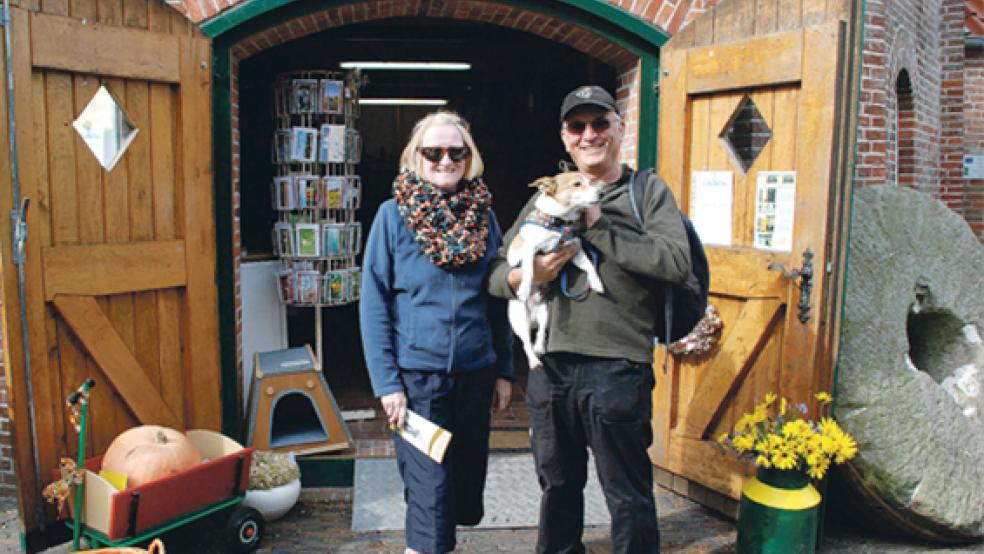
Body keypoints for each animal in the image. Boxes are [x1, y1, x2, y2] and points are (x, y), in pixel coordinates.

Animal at [512, 169, 604, 366]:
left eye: (590, 182)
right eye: (577, 184)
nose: (601, 193)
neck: (560, 223)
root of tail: (532, 313)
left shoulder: (575, 250)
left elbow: (589, 265)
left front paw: (596, 283)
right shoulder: (529, 250)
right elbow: (529, 270)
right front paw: (524, 288)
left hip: (545, 311)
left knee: (539, 332)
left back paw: (540, 347)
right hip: (519, 318)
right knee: (525, 342)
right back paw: (533, 361)